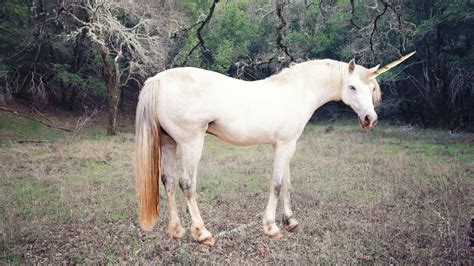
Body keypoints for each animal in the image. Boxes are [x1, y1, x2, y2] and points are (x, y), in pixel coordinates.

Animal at [134, 52, 414, 245]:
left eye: (371, 88)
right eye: (352, 87)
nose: (370, 119)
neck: (298, 91)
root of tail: (158, 79)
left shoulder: (287, 146)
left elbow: (287, 183)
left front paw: (291, 221)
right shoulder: (284, 145)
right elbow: (278, 184)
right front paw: (271, 226)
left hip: (169, 142)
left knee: (168, 181)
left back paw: (176, 230)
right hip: (191, 142)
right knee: (186, 184)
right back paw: (202, 233)